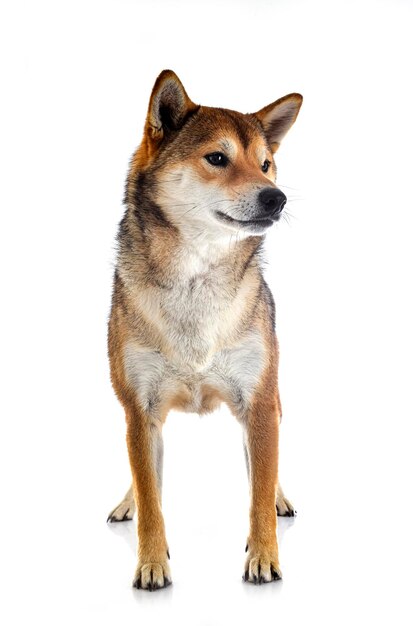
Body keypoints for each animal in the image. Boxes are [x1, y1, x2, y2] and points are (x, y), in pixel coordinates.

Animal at [105, 70, 300, 588]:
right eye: (217, 158)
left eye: (266, 165)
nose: (277, 197)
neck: (196, 280)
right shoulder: (140, 411)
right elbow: (151, 498)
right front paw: (151, 563)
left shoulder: (258, 401)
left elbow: (258, 494)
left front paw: (264, 556)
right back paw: (127, 501)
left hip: (272, 397)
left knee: (265, 467)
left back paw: (278, 496)